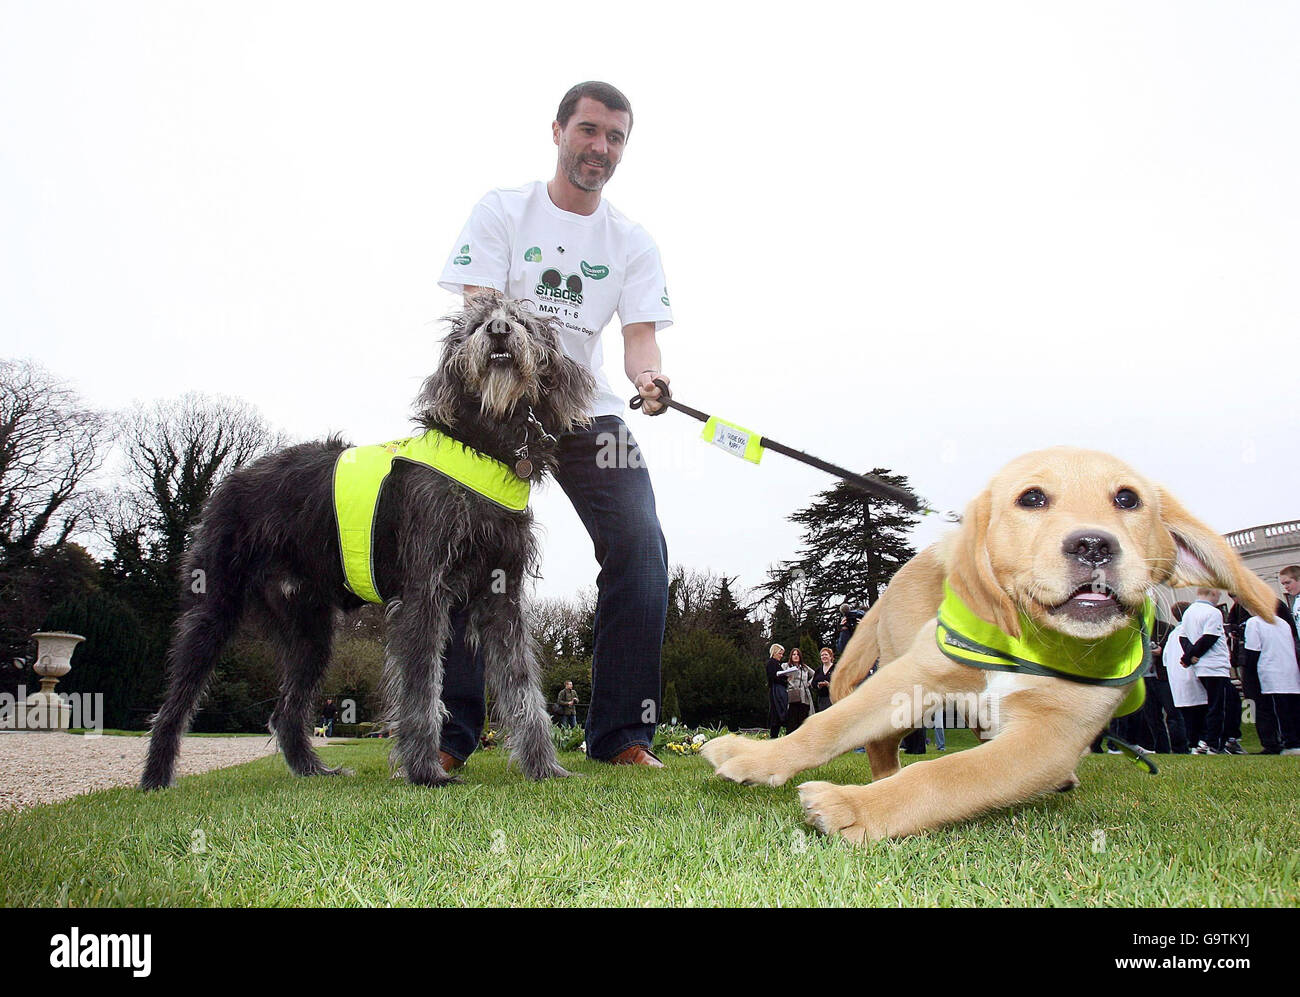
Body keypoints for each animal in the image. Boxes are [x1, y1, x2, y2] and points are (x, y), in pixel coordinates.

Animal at [139, 292, 595, 790]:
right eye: (475, 325)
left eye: (522, 322)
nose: (497, 330)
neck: (483, 444)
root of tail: (231, 481)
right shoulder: (423, 593)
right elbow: (421, 689)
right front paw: (425, 771)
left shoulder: (502, 597)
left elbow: (523, 687)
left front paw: (545, 768)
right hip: (212, 609)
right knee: (174, 703)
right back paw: (155, 779)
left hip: (311, 631)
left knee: (286, 711)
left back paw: (313, 770)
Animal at [707, 447, 1274, 847]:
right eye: (1032, 498)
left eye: (1128, 499)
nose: (1093, 545)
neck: (1032, 640)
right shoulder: (910, 678)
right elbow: (824, 725)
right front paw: (755, 756)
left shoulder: (1049, 739)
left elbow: (947, 774)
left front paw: (855, 809)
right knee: (881, 743)